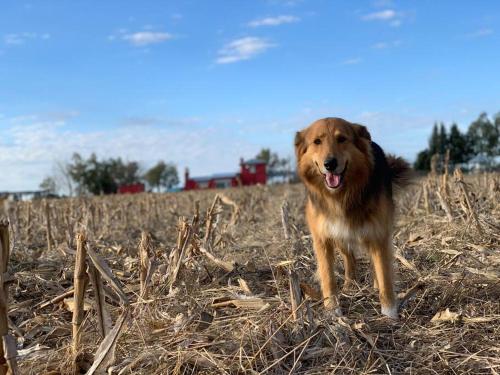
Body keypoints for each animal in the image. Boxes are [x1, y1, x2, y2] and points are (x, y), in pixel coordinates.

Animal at [294, 117, 408, 318]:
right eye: (317, 141)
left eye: (342, 139)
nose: (330, 164)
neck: (341, 196)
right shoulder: (323, 238)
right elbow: (328, 276)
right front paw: (332, 309)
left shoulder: (379, 234)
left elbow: (384, 273)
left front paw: (389, 312)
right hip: (340, 236)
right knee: (350, 259)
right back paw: (349, 285)